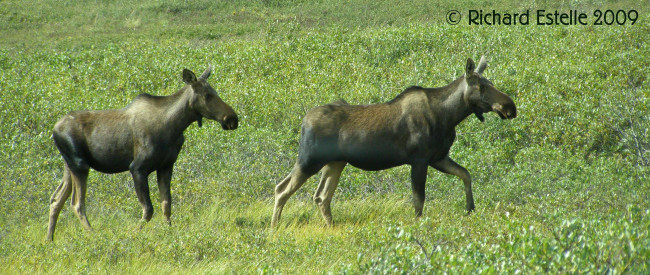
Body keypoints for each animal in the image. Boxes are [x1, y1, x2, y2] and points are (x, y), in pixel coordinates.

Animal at [46, 67, 238, 242]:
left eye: (214, 91)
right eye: (207, 95)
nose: (232, 119)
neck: (175, 126)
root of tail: (54, 130)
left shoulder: (166, 166)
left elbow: (166, 205)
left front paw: (169, 232)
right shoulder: (137, 168)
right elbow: (148, 209)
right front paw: (132, 234)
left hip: (69, 166)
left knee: (56, 200)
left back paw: (49, 239)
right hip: (80, 165)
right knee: (77, 204)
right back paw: (94, 235)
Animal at [270, 56, 512, 229]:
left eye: (490, 83)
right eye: (482, 87)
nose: (510, 106)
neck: (449, 116)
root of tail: (303, 121)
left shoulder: (438, 157)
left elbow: (466, 174)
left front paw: (470, 208)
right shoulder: (420, 159)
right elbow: (419, 200)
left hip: (335, 163)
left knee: (321, 196)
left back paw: (330, 226)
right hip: (309, 160)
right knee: (282, 189)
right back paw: (274, 228)